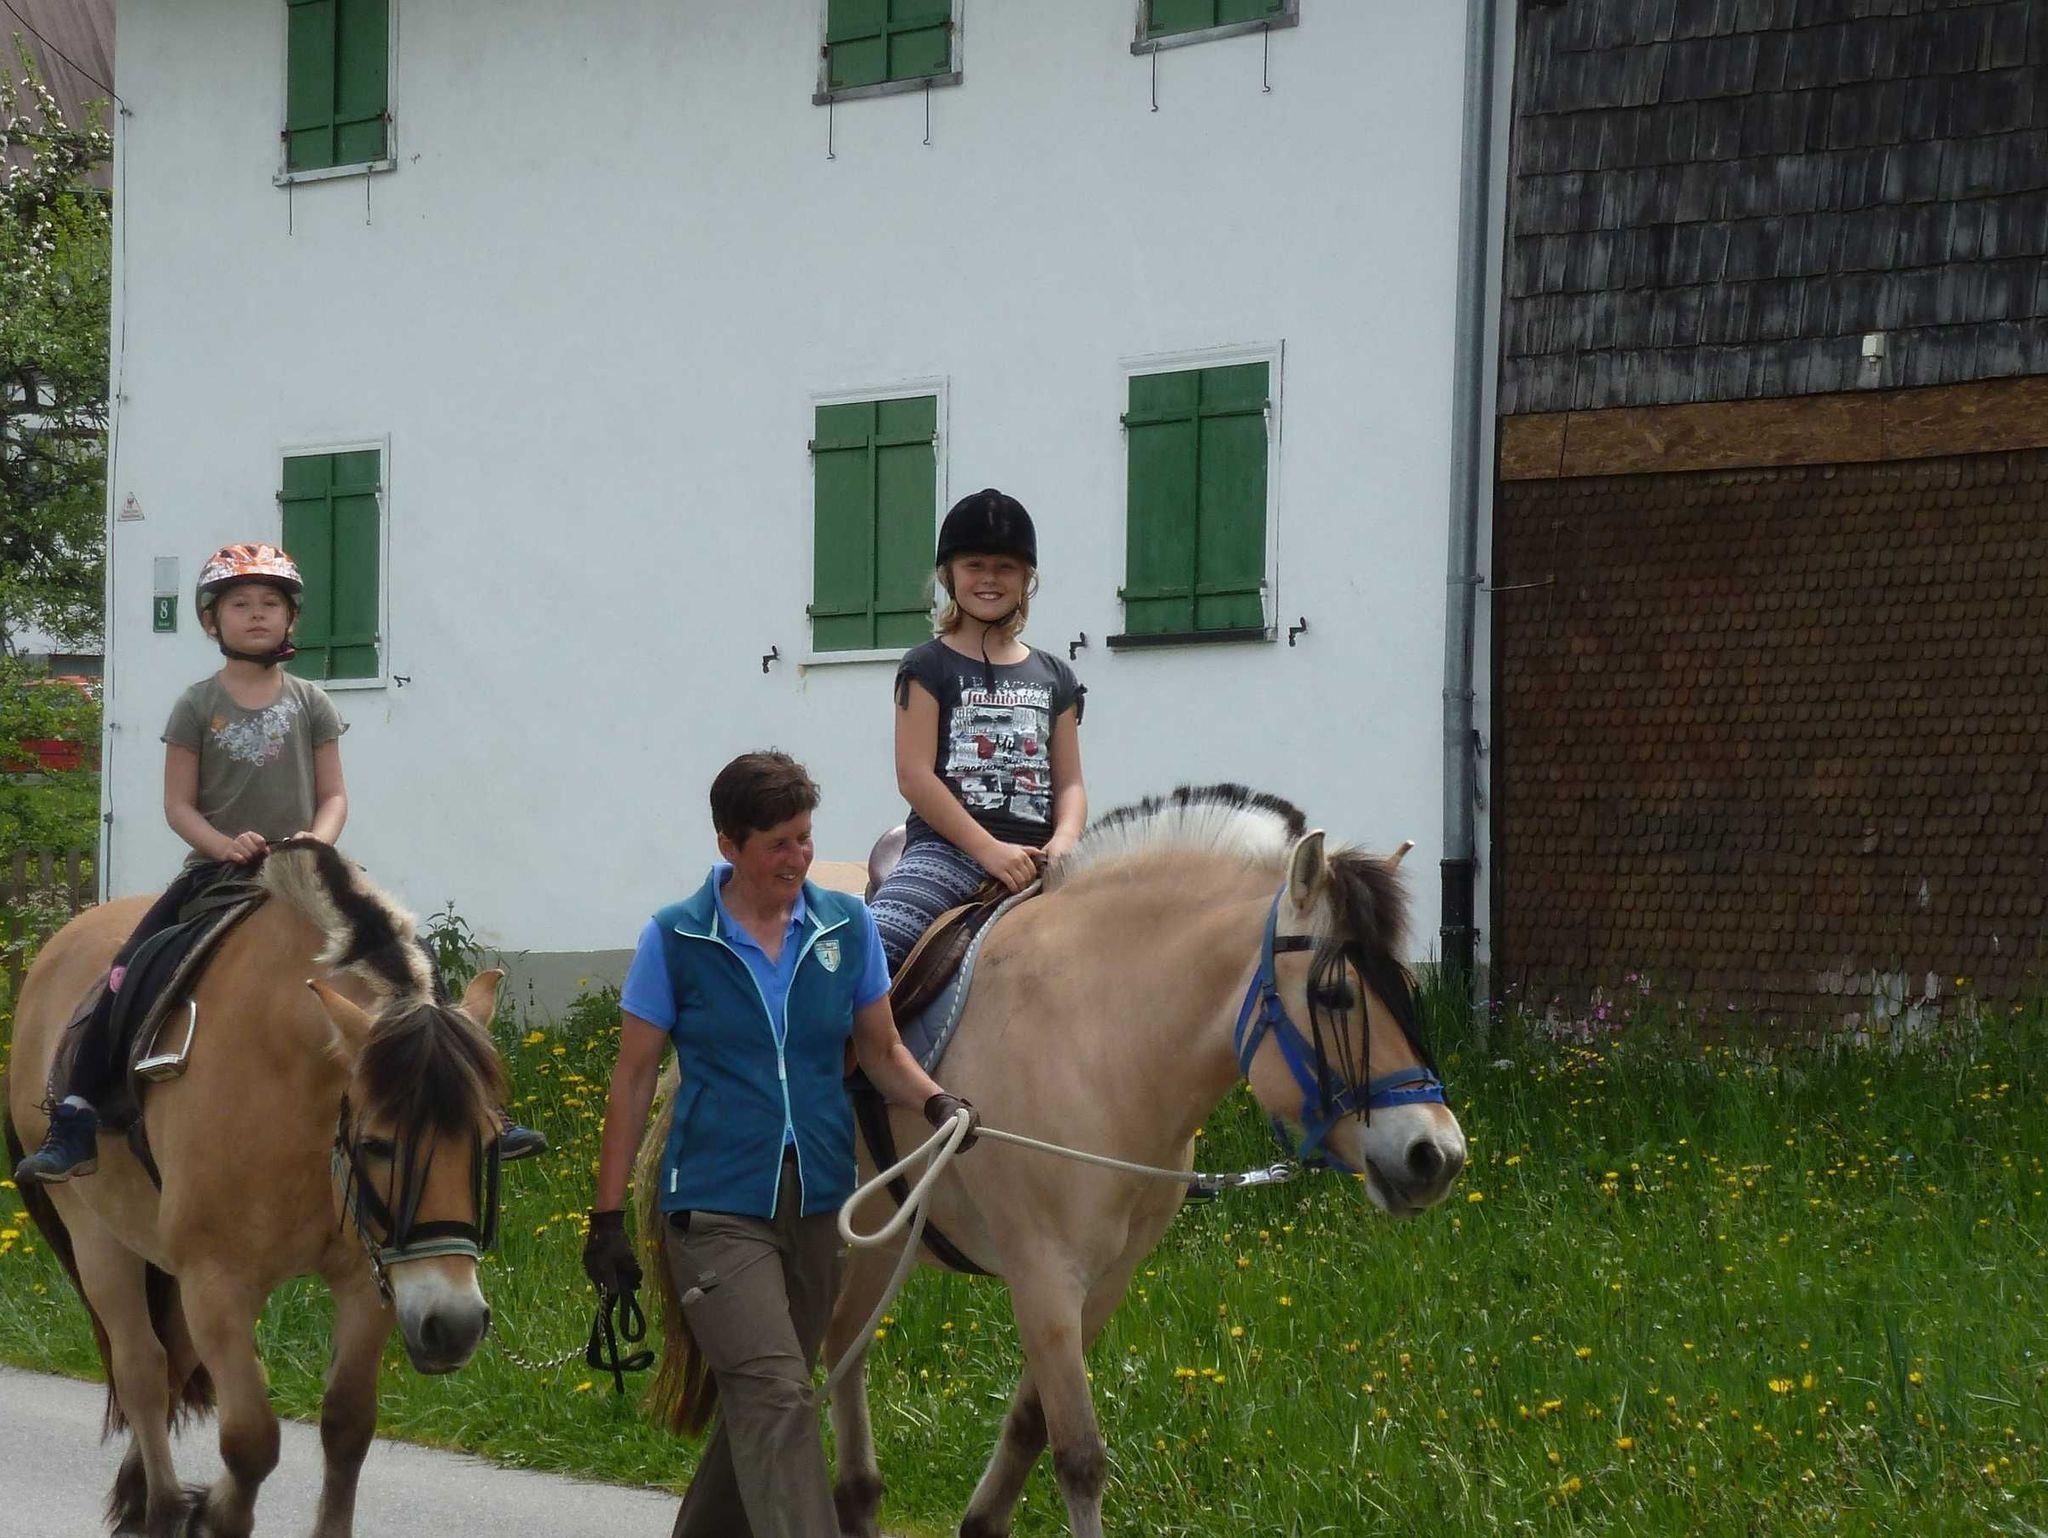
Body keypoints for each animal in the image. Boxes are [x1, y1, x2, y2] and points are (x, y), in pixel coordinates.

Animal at [2, 841, 510, 1538]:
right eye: (378, 1145)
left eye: (487, 1141)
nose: (454, 1326)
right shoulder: (217, 1282)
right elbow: (250, 1441)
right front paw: (214, 1513)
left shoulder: (370, 1280)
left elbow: (347, 1426)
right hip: (100, 1240)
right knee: (142, 1371)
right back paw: (162, 1508)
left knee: (171, 1366)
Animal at [637, 783, 1468, 1538]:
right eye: (1334, 998)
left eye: (1404, 984)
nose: (1437, 1154)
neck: (1095, 1034)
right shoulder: (1042, 1274)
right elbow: (1079, 1455)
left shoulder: (1106, 1281)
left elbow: (1032, 1430)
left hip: (870, 1248)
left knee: (841, 1357)